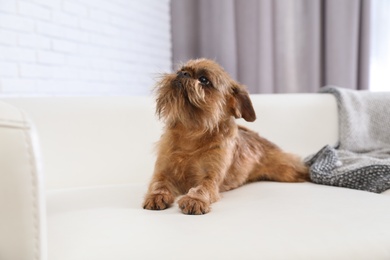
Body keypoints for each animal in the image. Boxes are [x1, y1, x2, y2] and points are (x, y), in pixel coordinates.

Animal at [142, 59, 310, 215]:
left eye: (204, 80)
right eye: (179, 70)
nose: (183, 73)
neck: (191, 134)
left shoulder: (211, 178)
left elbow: (202, 187)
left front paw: (195, 200)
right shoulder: (163, 171)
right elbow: (159, 183)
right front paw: (156, 196)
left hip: (287, 170)